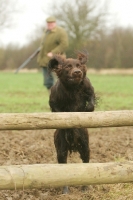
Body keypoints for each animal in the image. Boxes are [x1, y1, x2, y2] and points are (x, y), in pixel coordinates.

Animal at [48, 50, 96, 194]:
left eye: (79, 65)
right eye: (68, 66)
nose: (77, 72)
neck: (72, 88)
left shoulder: (89, 89)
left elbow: (90, 104)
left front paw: (84, 111)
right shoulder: (54, 100)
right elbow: (59, 112)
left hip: (85, 147)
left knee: (86, 164)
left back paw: (85, 189)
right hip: (61, 149)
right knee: (64, 169)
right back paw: (65, 192)